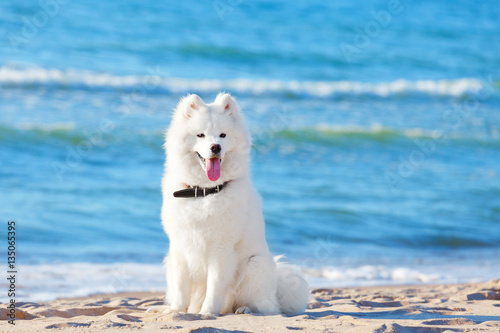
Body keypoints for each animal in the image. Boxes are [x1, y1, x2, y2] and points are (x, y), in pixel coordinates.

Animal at [148, 92, 308, 316]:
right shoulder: (180, 247)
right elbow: (181, 287)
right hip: (169, 261)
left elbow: (214, 286)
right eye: (201, 135)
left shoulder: (221, 250)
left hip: (254, 266)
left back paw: (245, 309)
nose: (215, 147)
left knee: (268, 308)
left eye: (222, 135)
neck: (204, 192)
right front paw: (176, 311)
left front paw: (206, 313)